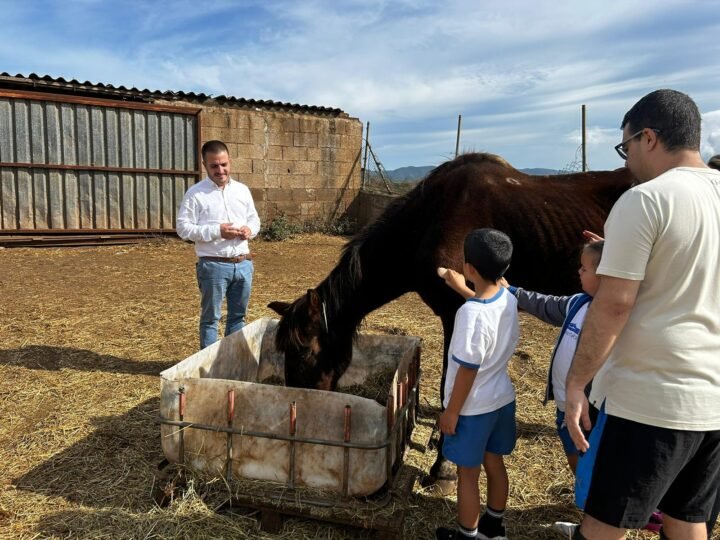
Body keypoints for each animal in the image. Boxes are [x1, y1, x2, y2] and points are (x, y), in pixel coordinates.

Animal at [268, 152, 635, 489]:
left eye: (306, 351)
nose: (302, 409)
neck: (429, 220)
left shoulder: (457, 313)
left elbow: (453, 383)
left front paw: (443, 466)